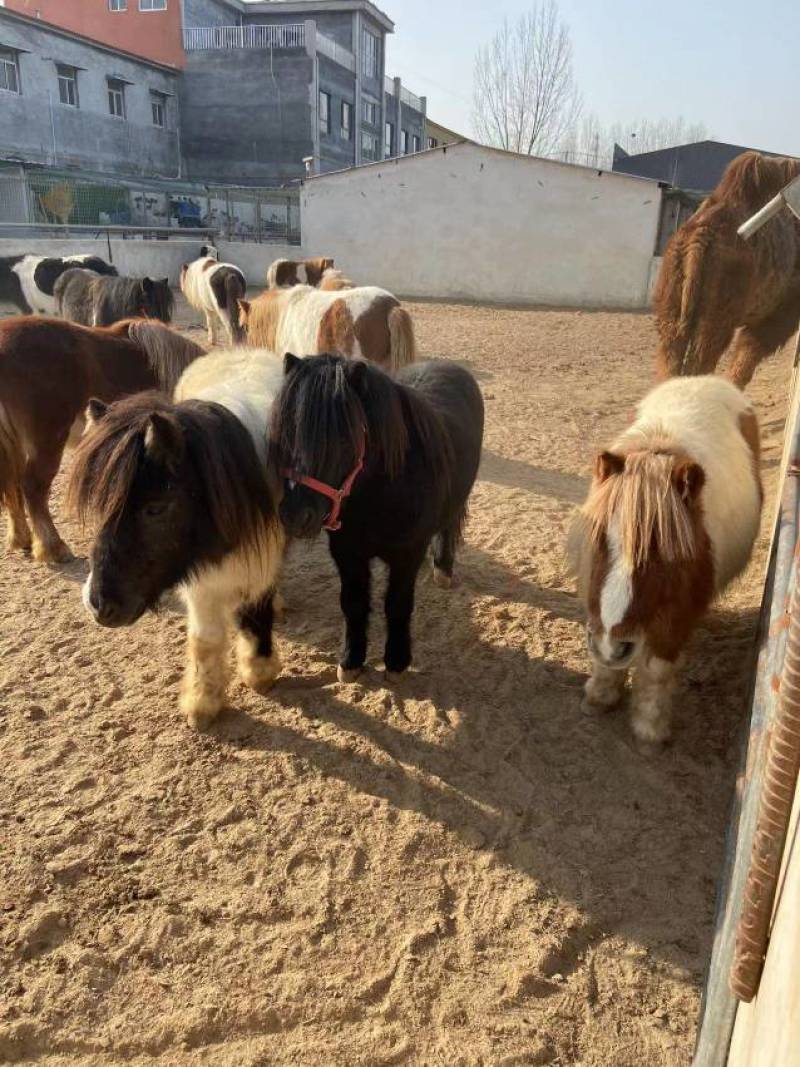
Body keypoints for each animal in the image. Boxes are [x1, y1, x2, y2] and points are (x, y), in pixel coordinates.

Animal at [70, 346, 286, 730]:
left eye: (156, 508)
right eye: (99, 506)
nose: (99, 605)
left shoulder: (261, 557)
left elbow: (256, 609)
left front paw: (259, 671)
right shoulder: (198, 574)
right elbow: (205, 639)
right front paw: (202, 702)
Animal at [270, 353, 484, 683]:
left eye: (344, 438)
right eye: (288, 431)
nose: (295, 515)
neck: (378, 495)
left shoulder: (406, 556)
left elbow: (397, 605)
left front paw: (396, 662)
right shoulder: (347, 553)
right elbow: (353, 603)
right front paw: (351, 660)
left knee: (448, 526)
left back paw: (443, 570)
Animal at [568, 375, 762, 748]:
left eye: (666, 554)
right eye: (599, 537)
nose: (614, 646)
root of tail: (706, 380)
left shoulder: (677, 617)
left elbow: (656, 669)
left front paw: (649, 727)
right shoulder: (596, 607)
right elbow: (603, 660)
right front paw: (599, 696)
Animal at [654, 151, 800, 388]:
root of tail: (698, 237)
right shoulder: (779, 314)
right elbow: (744, 364)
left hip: (671, 307)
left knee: (671, 362)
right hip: (716, 318)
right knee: (699, 365)